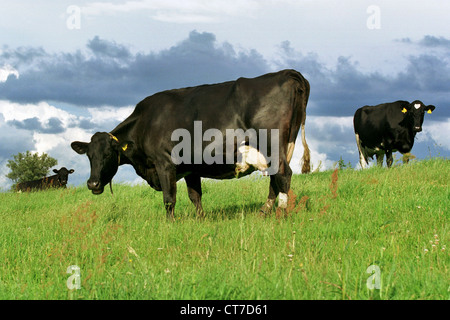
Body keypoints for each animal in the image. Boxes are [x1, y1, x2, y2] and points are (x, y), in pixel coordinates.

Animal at [71, 69, 310, 220]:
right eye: (89, 156)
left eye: (108, 155)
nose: (92, 184)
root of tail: (286, 74)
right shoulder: (190, 168)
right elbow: (195, 196)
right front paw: (201, 219)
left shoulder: (164, 163)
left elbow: (169, 198)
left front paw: (169, 223)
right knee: (275, 179)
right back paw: (264, 212)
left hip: (272, 143)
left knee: (283, 175)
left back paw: (281, 214)